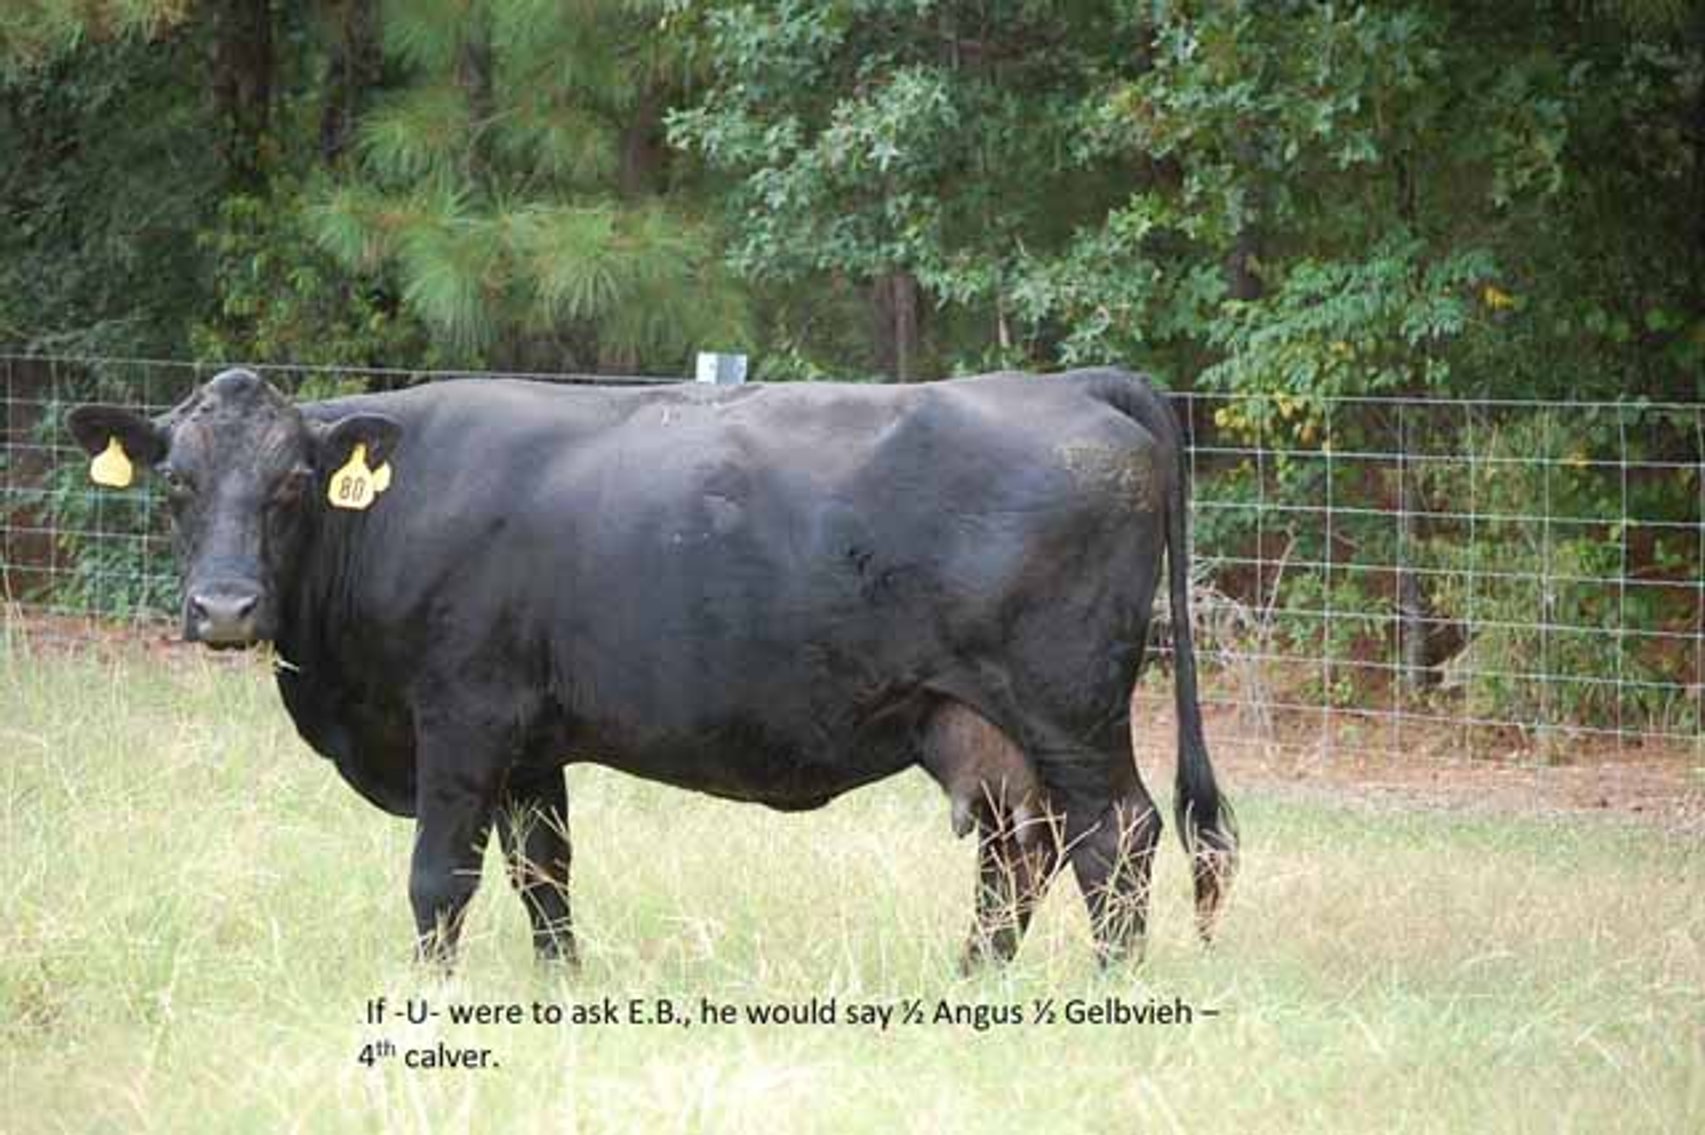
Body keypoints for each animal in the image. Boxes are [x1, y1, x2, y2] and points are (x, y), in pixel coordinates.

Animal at [68, 365, 1237, 970]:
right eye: (175, 484)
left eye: (291, 487)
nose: (225, 607)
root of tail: (1069, 384)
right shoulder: (531, 745)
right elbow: (546, 878)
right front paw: (561, 993)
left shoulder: (462, 718)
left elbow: (438, 879)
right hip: (975, 720)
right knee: (1019, 852)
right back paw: (969, 985)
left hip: (1067, 707)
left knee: (1117, 839)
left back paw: (1104, 989)